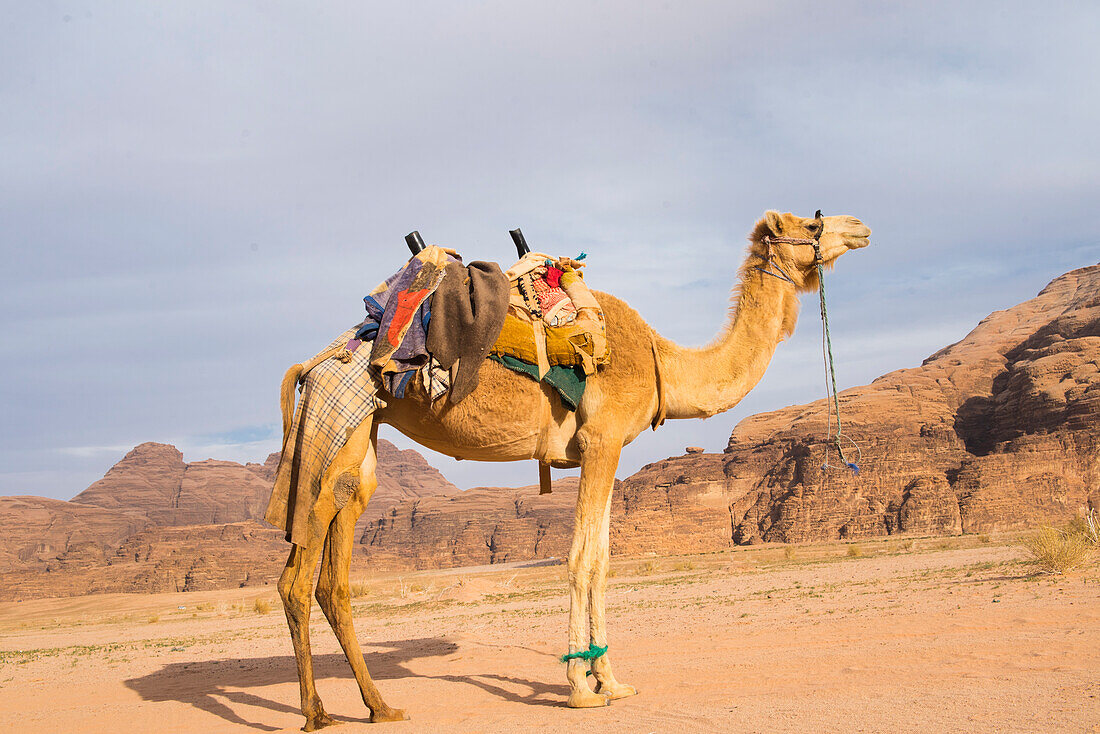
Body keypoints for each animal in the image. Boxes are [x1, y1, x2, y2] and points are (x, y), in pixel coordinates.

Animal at [272, 209, 866, 726]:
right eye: (812, 224)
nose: (860, 226)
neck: (661, 363)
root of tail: (310, 364)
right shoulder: (603, 441)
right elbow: (583, 559)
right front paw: (582, 689)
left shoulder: (600, 451)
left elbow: (601, 560)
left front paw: (612, 682)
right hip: (338, 423)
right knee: (301, 576)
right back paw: (317, 713)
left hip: (360, 443)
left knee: (331, 575)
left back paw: (379, 707)